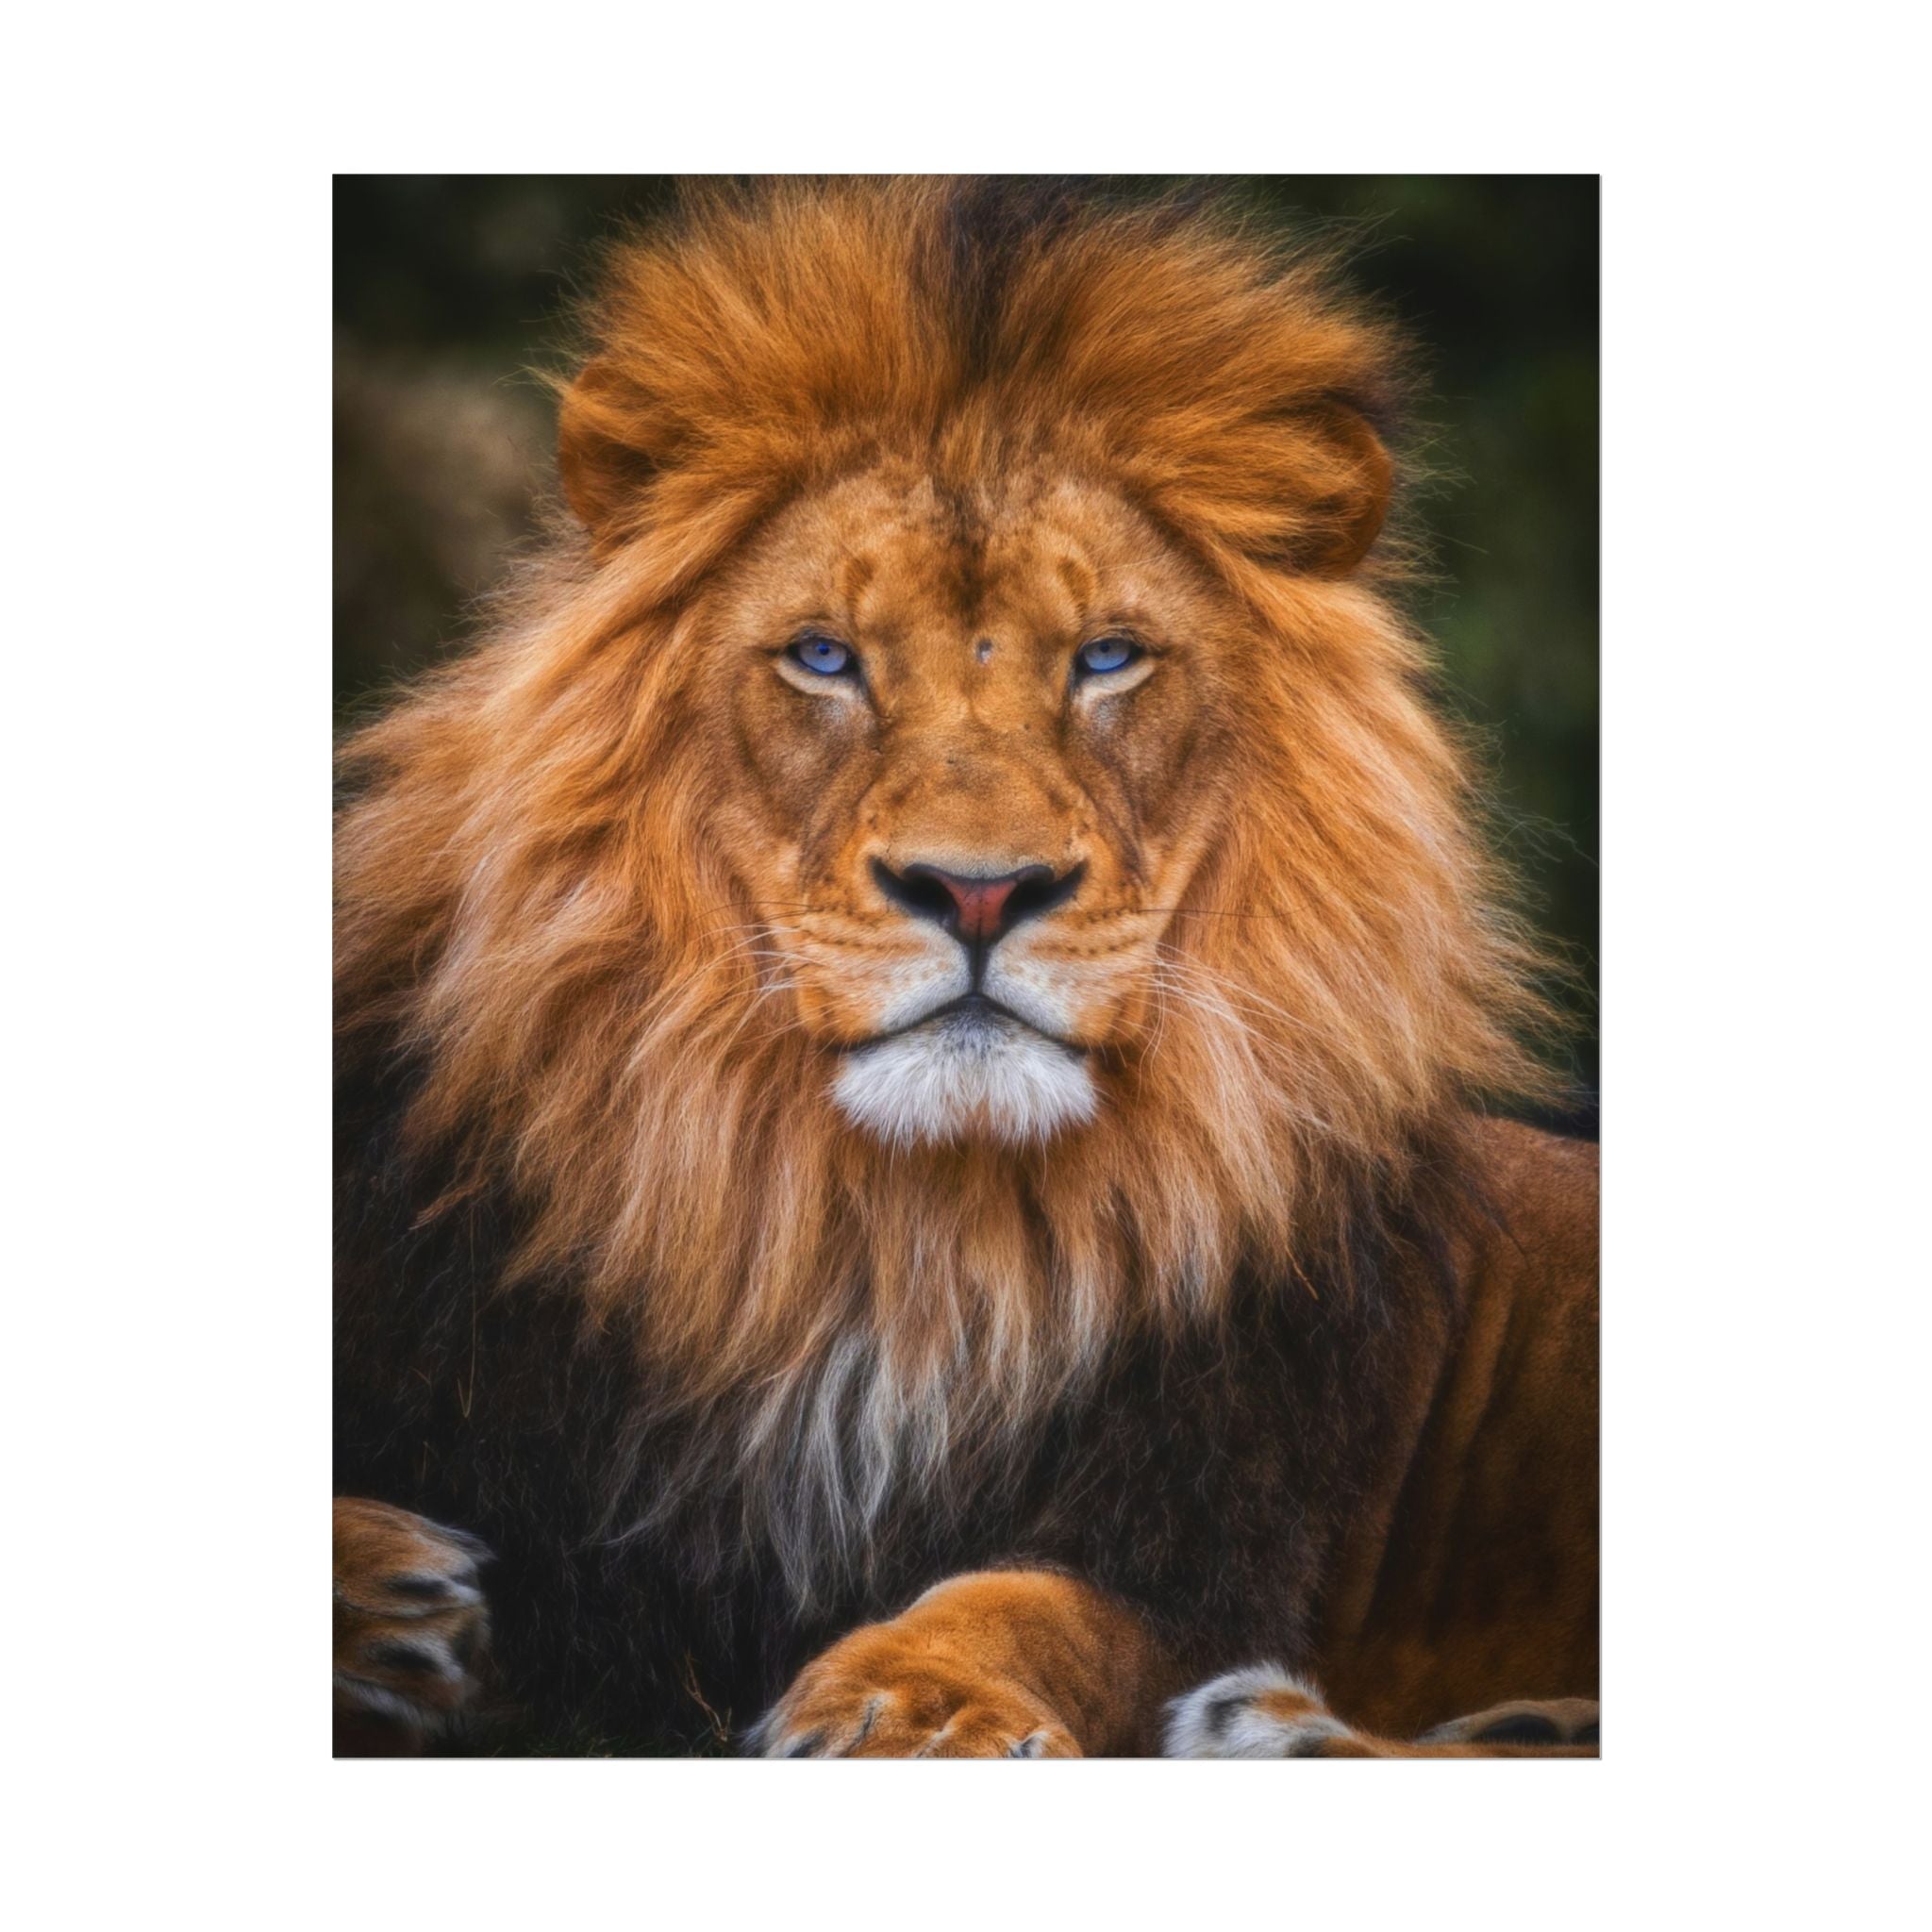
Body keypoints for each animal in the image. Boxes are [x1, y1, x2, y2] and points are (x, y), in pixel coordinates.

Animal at [333, 177, 1598, 1757]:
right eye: (824, 657)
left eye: (1108, 658)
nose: (980, 890)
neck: (895, 1242)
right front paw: (383, 1595)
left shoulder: (1206, 1537)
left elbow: (1039, 1603)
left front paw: (911, 1704)